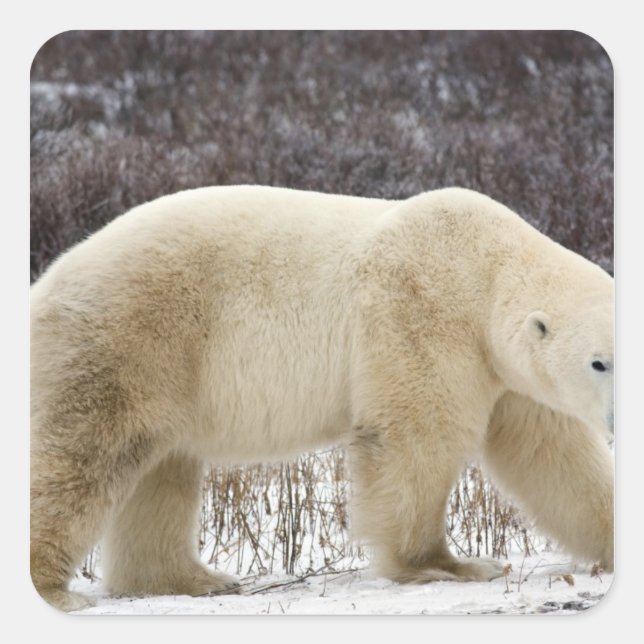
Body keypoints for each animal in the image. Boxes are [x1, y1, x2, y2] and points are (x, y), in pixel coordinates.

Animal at [30, 186, 614, 611]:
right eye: (599, 362)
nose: (617, 418)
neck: (480, 264)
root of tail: (47, 283)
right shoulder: (418, 311)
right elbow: (416, 438)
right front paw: (451, 565)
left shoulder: (512, 376)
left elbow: (554, 457)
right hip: (131, 338)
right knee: (83, 455)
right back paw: (57, 590)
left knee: (162, 472)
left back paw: (194, 579)